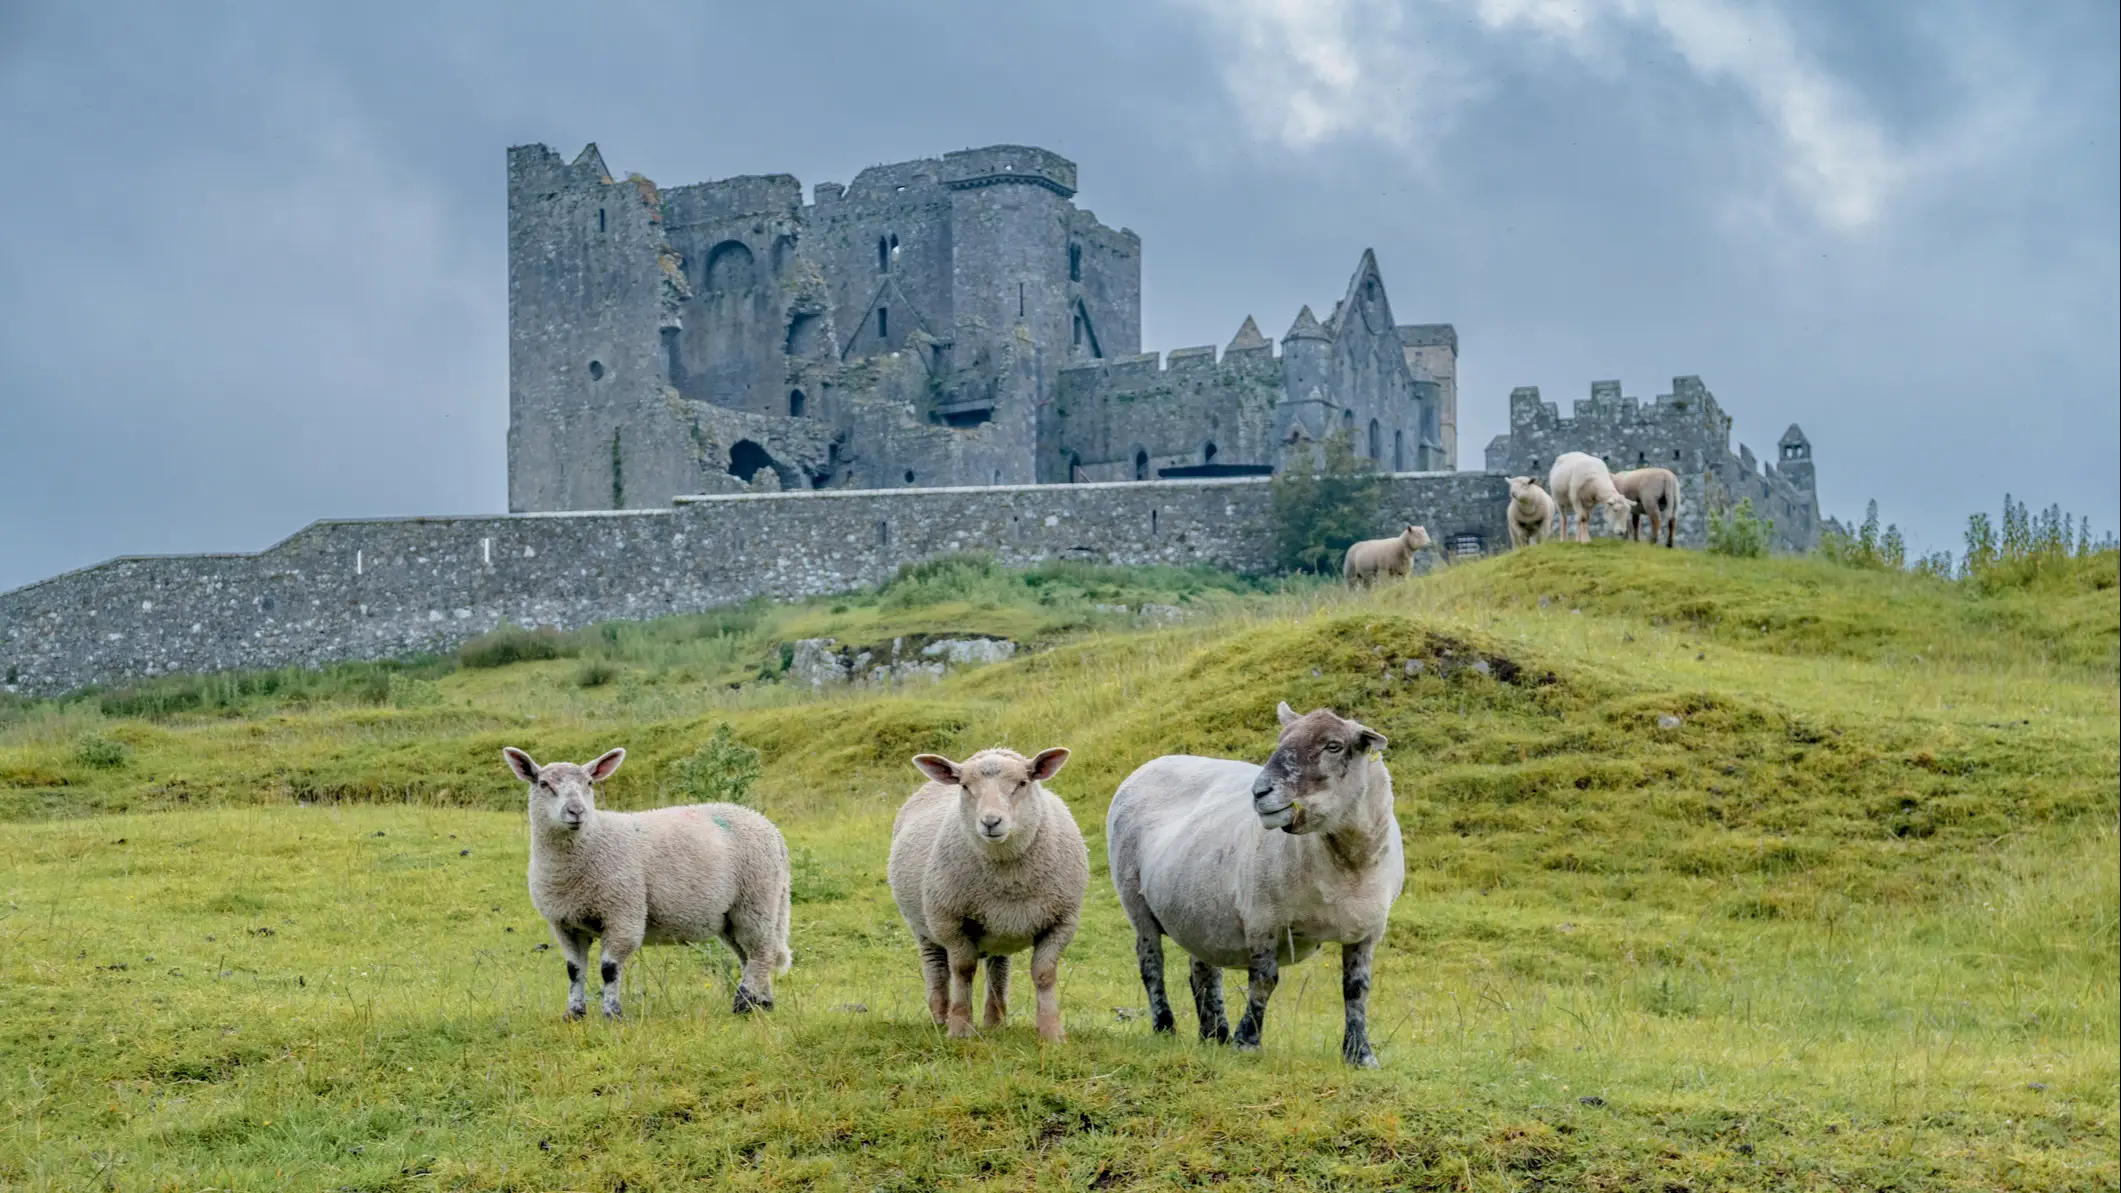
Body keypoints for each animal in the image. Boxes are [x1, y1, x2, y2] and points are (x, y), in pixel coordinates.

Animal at [502, 746, 792, 1021]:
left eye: (589, 783)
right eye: (544, 784)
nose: (576, 812)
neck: (592, 840)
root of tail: (771, 829)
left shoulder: (623, 913)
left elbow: (609, 969)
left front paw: (612, 1014)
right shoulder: (564, 923)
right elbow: (574, 970)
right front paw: (574, 1014)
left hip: (756, 900)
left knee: (761, 952)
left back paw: (743, 1003)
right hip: (732, 915)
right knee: (749, 955)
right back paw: (762, 1003)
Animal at [887, 746, 1088, 1042]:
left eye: (1022, 783)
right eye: (965, 786)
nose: (991, 822)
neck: (1009, 878)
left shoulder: (1062, 921)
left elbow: (1044, 974)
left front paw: (1052, 1033)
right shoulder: (951, 922)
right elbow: (963, 971)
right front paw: (960, 1028)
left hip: (1000, 929)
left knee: (998, 969)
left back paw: (995, 1021)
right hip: (923, 925)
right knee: (937, 968)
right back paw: (940, 1018)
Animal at [1106, 702, 1405, 1067]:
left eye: (1333, 746)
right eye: (1281, 739)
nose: (1260, 792)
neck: (1346, 866)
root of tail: (1153, 762)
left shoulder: (1368, 930)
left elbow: (1357, 989)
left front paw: (1360, 1054)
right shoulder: (1264, 917)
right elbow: (1264, 980)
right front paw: (1247, 1040)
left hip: (1198, 909)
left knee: (1203, 971)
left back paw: (1214, 1034)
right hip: (1136, 902)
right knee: (1152, 965)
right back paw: (1166, 1027)